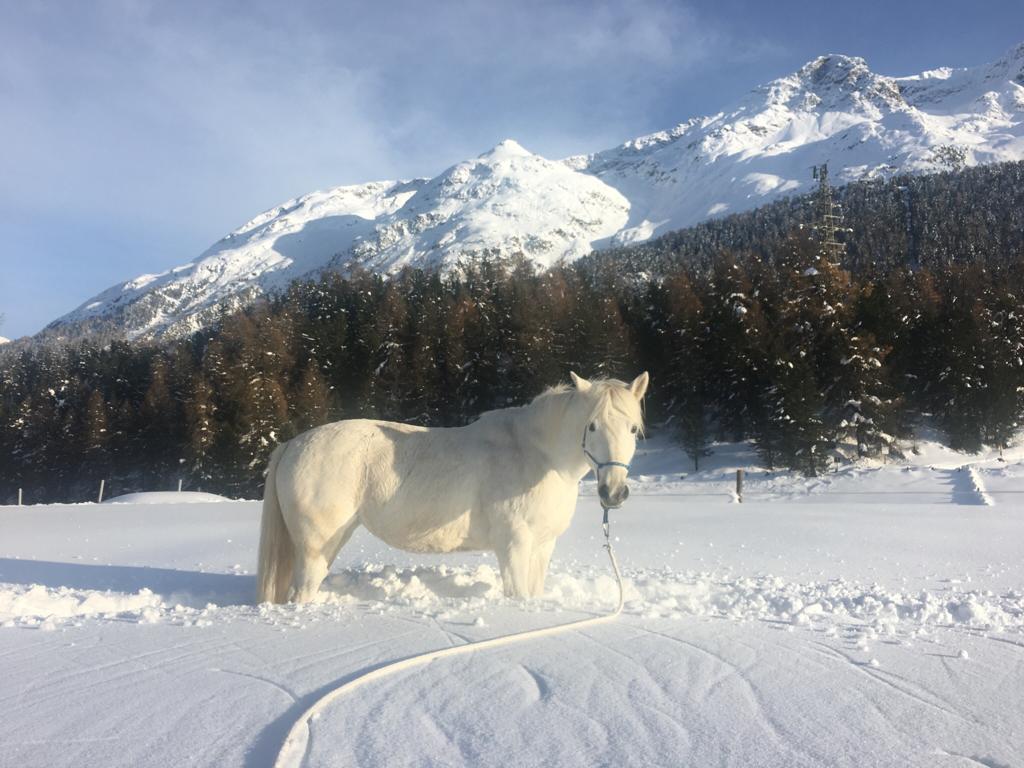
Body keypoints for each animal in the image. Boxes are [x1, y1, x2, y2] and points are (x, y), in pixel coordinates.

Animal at [256, 372, 643, 606]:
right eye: (591, 426)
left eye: (632, 429)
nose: (613, 493)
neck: (537, 455)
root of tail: (292, 444)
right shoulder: (513, 547)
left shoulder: (542, 546)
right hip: (316, 548)